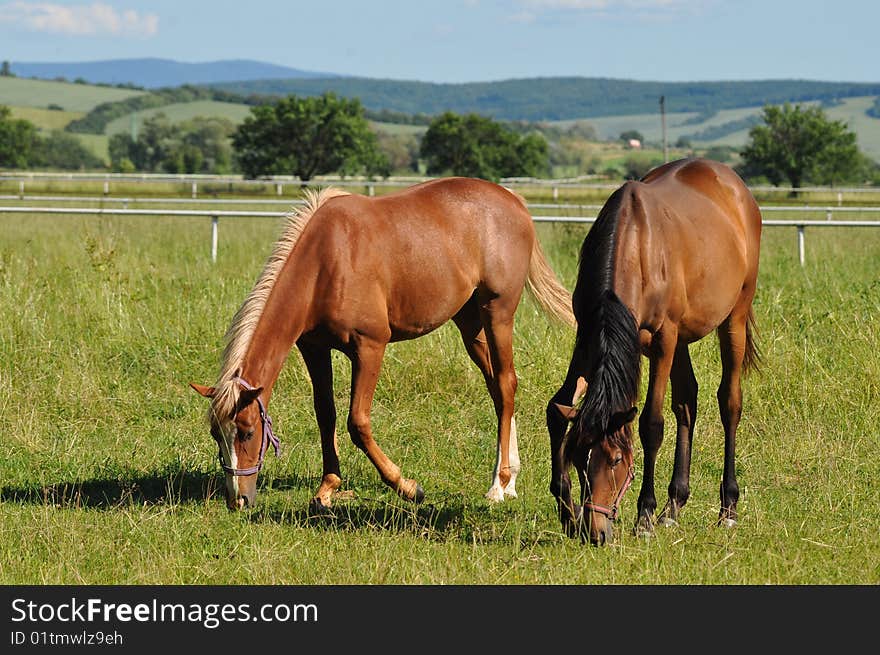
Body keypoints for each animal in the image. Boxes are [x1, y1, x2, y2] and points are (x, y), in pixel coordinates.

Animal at [189, 178, 576, 512]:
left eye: (247, 431)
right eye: (215, 434)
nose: (237, 500)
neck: (328, 262)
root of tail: (513, 201)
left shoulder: (370, 346)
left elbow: (357, 422)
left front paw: (407, 486)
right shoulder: (314, 349)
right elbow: (325, 415)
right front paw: (327, 488)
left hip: (498, 313)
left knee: (507, 384)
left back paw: (499, 483)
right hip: (471, 324)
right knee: (498, 388)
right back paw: (508, 479)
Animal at [548, 160, 760, 548]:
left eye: (616, 460)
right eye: (578, 458)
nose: (596, 533)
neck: (635, 246)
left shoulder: (664, 339)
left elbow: (652, 424)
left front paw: (644, 516)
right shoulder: (589, 334)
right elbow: (556, 411)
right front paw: (567, 512)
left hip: (732, 319)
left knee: (730, 403)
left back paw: (727, 510)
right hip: (683, 340)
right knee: (687, 402)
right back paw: (673, 507)